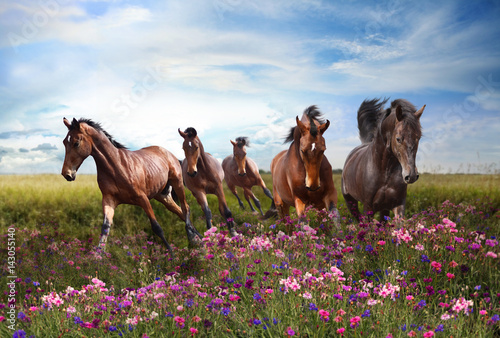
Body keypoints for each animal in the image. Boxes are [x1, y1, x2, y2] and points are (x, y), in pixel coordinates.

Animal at [59, 117, 198, 255]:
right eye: (64, 142)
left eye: (76, 143)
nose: (67, 174)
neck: (116, 167)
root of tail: (169, 153)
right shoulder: (109, 200)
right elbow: (105, 228)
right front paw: (98, 255)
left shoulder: (143, 199)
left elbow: (156, 227)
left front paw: (172, 254)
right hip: (163, 196)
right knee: (180, 212)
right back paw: (198, 238)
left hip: (177, 183)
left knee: (185, 208)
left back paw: (193, 239)